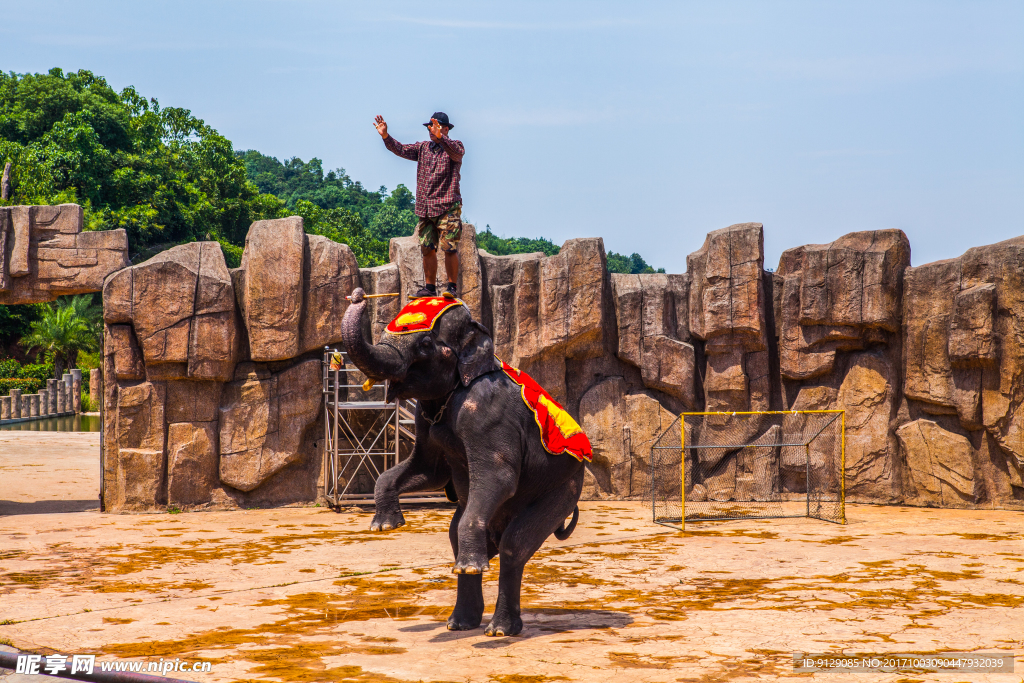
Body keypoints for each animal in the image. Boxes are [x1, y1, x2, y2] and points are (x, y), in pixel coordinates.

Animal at [342, 288, 585, 634]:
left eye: (425, 344)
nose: (358, 295)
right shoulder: (425, 417)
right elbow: (428, 470)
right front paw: (385, 526)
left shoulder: (487, 411)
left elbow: (499, 477)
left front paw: (470, 567)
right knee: (456, 534)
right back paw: (460, 624)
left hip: (563, 488)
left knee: (513, 546)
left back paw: (497, 628)